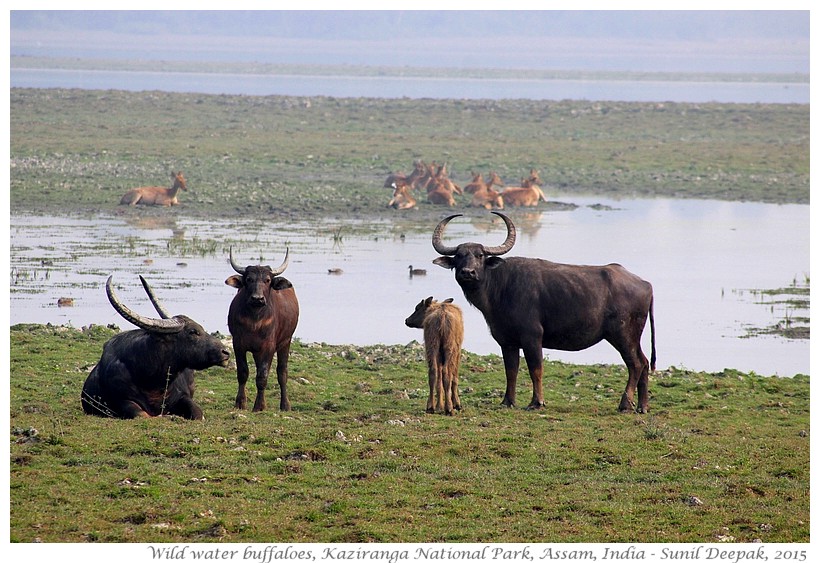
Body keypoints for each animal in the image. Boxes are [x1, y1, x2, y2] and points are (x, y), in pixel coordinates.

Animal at [80, 276, 231, 420]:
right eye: (193, 332)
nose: (226, 352)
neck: (152, 381)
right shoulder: (122, 400)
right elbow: (142, 415)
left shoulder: (183, 397)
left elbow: (198, 414)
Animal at [226, 249, 300, 412]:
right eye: (249, 279)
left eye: (267, 280)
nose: (257, 298)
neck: (255, 321)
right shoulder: (238, 344)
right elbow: (243, 372)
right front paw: (240, 403)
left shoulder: (268, 347)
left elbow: (262, 376)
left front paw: (259, 406)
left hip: (286, 342)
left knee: (282, 373)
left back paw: (285, 405)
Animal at [432, 212, 656, 414]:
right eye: (459, 256)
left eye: (480, 255)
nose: (467, 272)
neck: (500, 286)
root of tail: (646, 284)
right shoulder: (507, 342)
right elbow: (511, 370)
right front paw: (507, 401)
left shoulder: (532, 337)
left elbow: (535, 369)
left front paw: (536, 402)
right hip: (632, 337)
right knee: (644, 362)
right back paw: (642, 406)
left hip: (623, 335)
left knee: (635, 364)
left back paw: (625, 404)